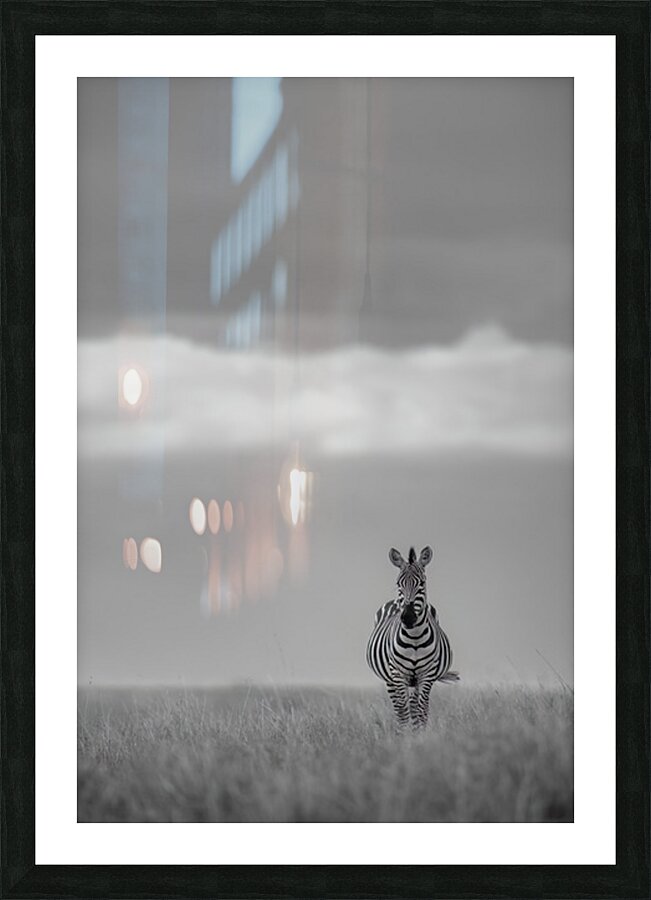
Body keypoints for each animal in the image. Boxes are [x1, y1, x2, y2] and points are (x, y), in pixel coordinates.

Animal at [366, 545, 459, 730]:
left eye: (422, 583)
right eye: (398, 583)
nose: (408, 617)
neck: (414, 637)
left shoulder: (427, 674)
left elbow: (421, 710)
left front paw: (420, 734)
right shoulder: (397, 673)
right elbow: (403, 712)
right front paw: (404, 735)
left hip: (415, 680)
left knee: (415, 707)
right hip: (391, 679)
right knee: (400, 707)